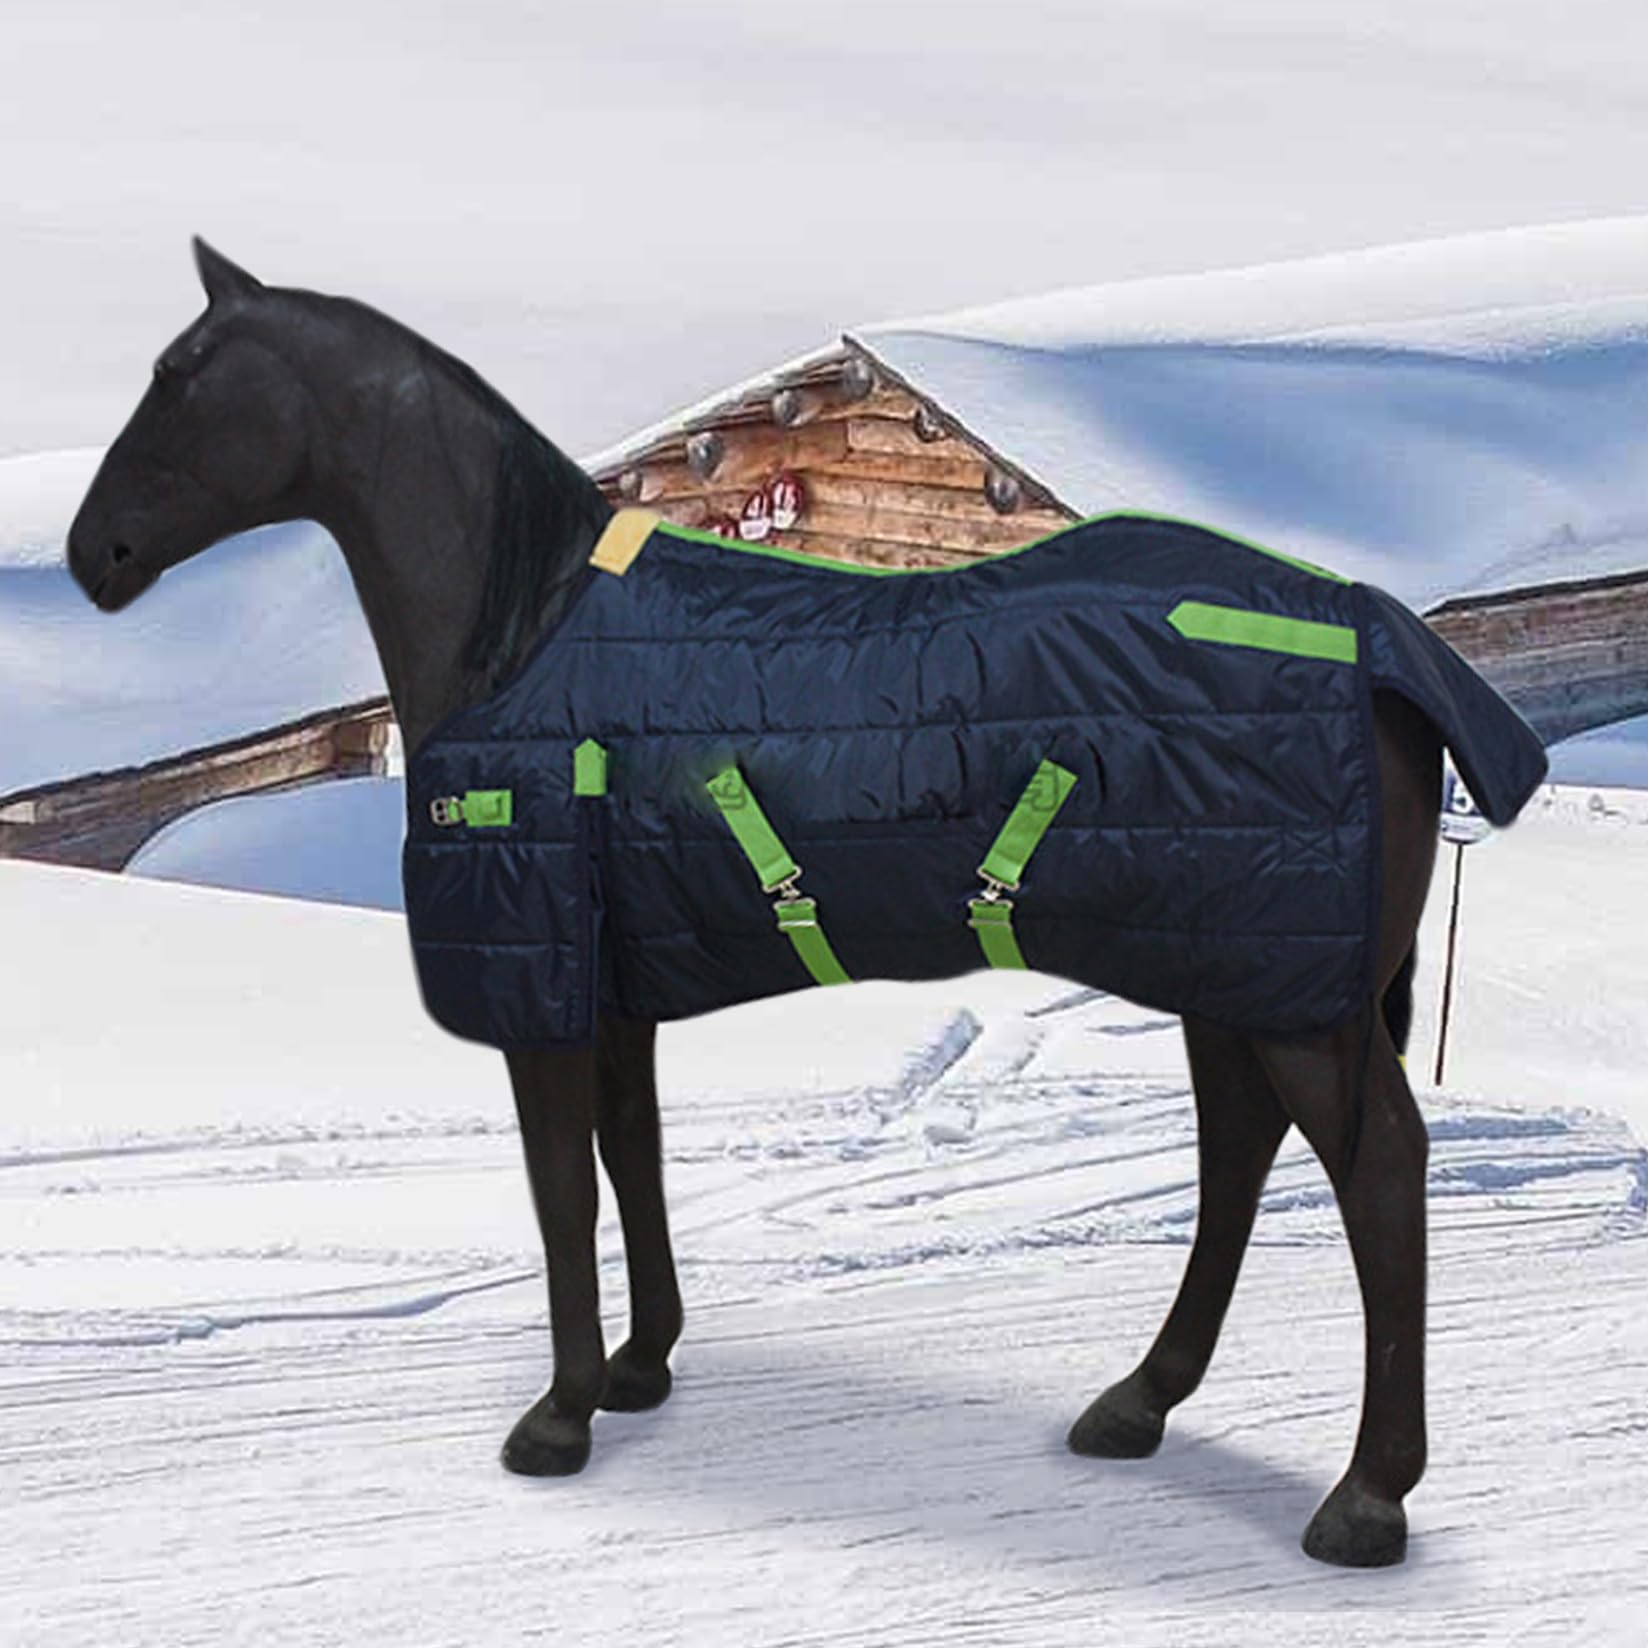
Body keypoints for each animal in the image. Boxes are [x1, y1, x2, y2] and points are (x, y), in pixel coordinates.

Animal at [67, 238, 1462, 1569]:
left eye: (183, 374)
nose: (94, 556)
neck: (522, 633)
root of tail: (1379, 637)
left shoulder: (544, 990)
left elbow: (562, 1193)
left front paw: (558, 1417)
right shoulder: (615, 989)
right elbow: (630, 1161)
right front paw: (638, 1369)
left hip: (1290, 999)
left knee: (1378, 1170)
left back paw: (1364, 1498)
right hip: (1231, 973)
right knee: (1239, 1155)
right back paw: (1138, 1404)